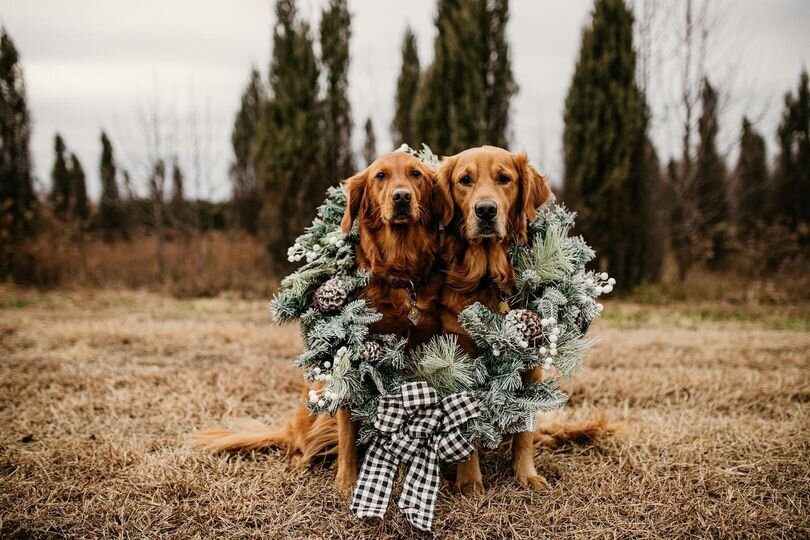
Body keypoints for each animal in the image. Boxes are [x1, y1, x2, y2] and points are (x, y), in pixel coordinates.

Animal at [195, 150, 442, 496]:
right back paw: (302, 464)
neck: (399, 269)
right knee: (301, 446)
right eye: (380, 176)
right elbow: (348, 432)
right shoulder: (350, 360)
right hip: (316, 408)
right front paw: (346, 484)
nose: (402, 197)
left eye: (416, 174)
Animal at [432, 143, 552, 494]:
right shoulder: (459, 362)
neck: (487, 278)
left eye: (504, 179)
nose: (486, 210)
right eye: (465, 180)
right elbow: (465, 430)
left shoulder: (531, 364)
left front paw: (526, 474)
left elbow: (525, 429)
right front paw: (470, 481)